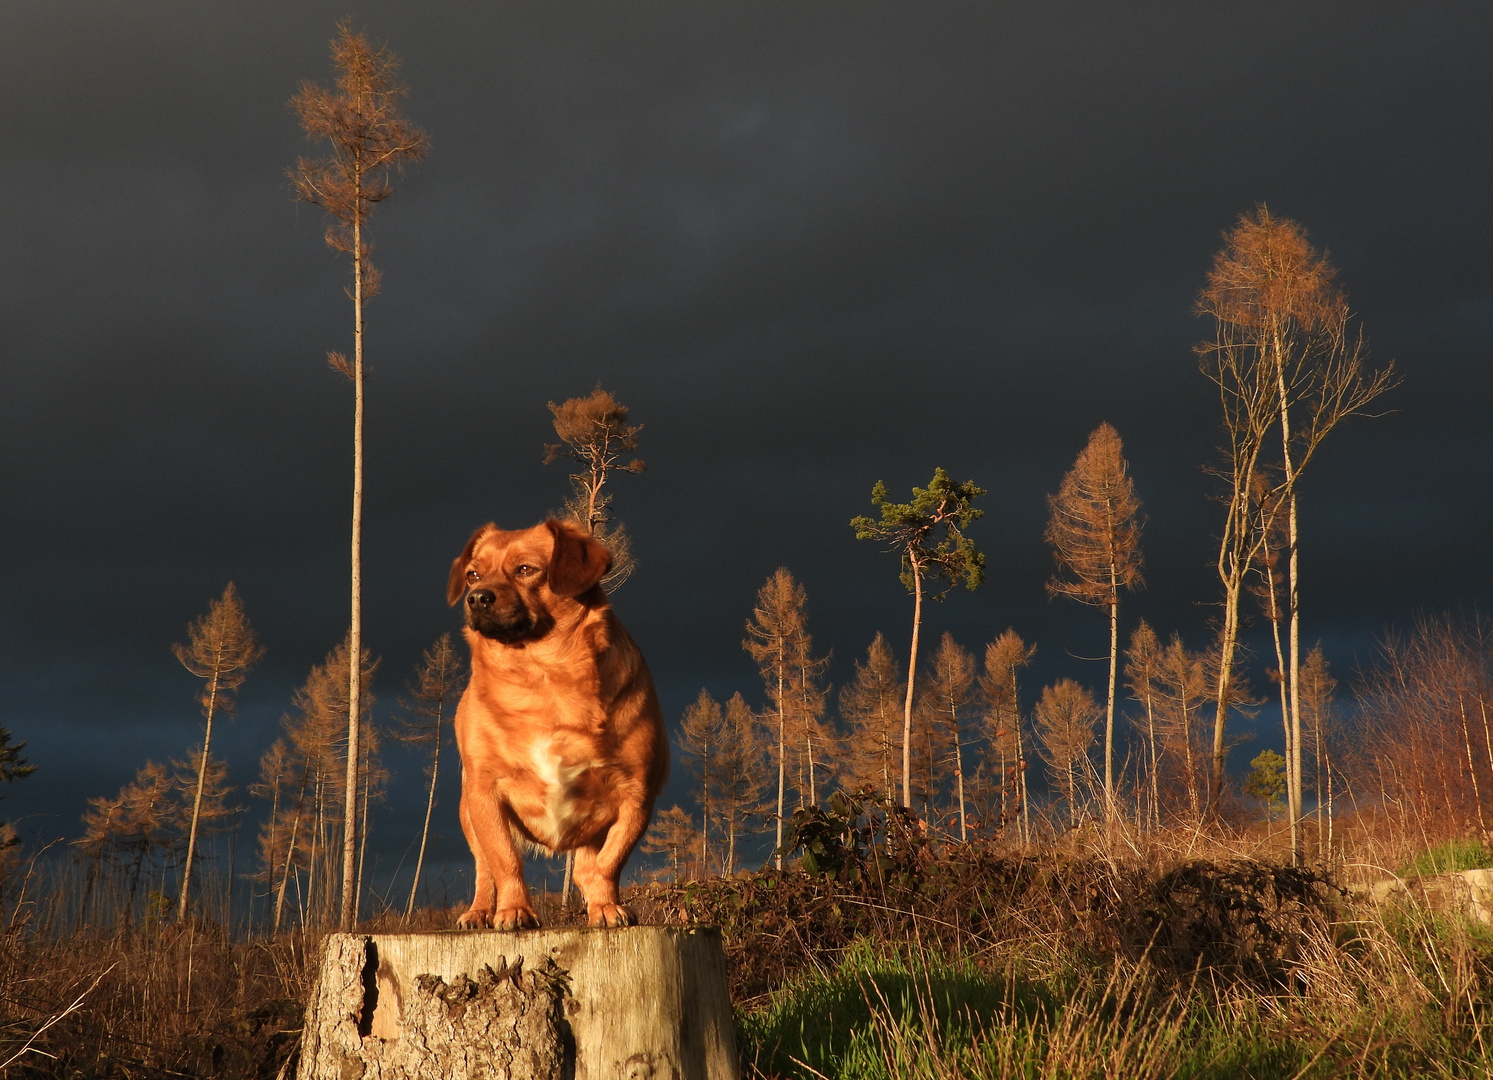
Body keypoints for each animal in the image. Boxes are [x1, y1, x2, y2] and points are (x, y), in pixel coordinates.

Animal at [438, 516, 668, 932]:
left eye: (526, 570)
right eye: (472, 575)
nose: (476, 597)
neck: (541, 677)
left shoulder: (636, 796)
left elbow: (609, 862)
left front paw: (606, 906)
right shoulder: (486, 795)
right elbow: (504, 861)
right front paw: (513, 910)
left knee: (586, 867)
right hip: (469, 813)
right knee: (484, 869)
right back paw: (480, 912)